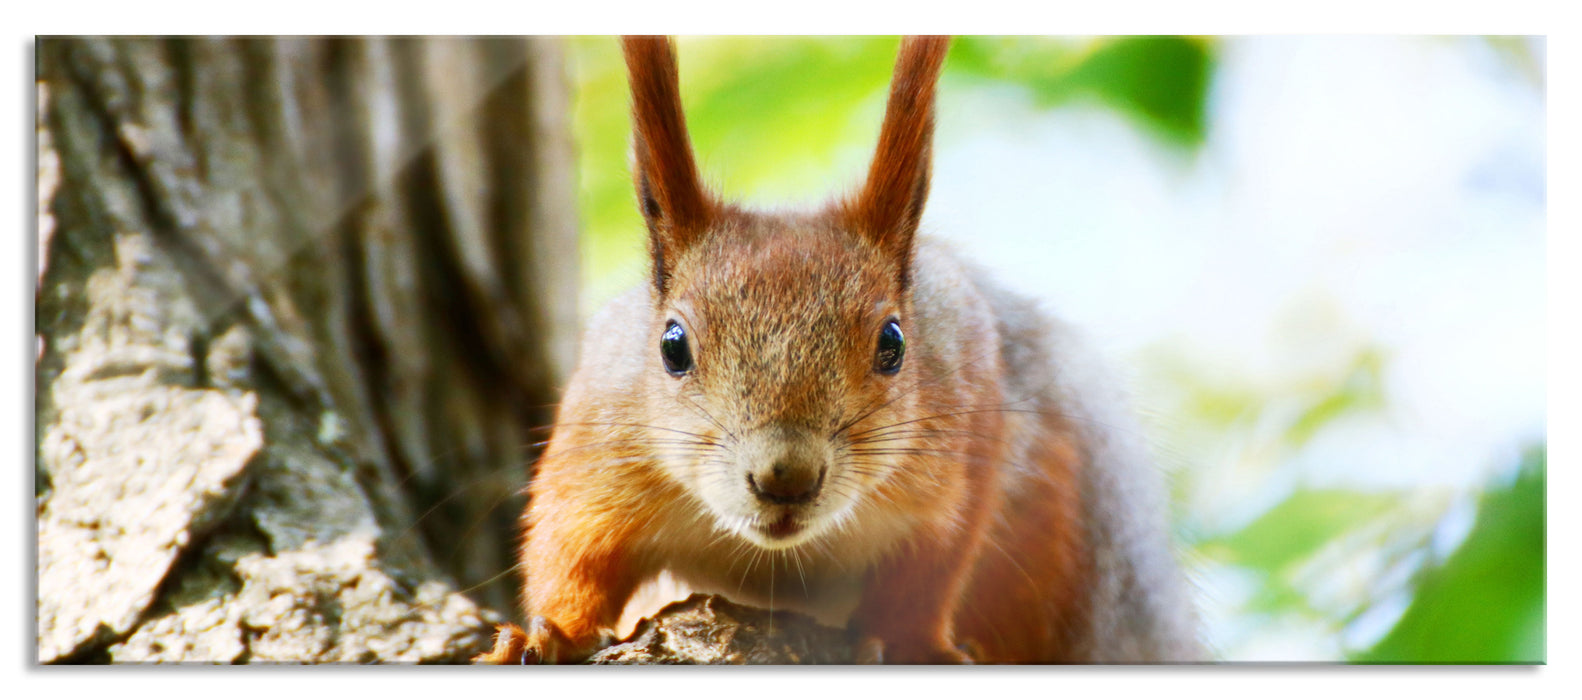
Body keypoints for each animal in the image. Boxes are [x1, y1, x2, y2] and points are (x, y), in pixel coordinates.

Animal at [477, 35, 1195, 665]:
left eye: (894, 342)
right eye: (672, 346)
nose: (785, 477)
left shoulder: (967, 436)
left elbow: (928, 572)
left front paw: (911, 646)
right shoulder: (600, 442)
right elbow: (572, 555)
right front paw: (549, 636)